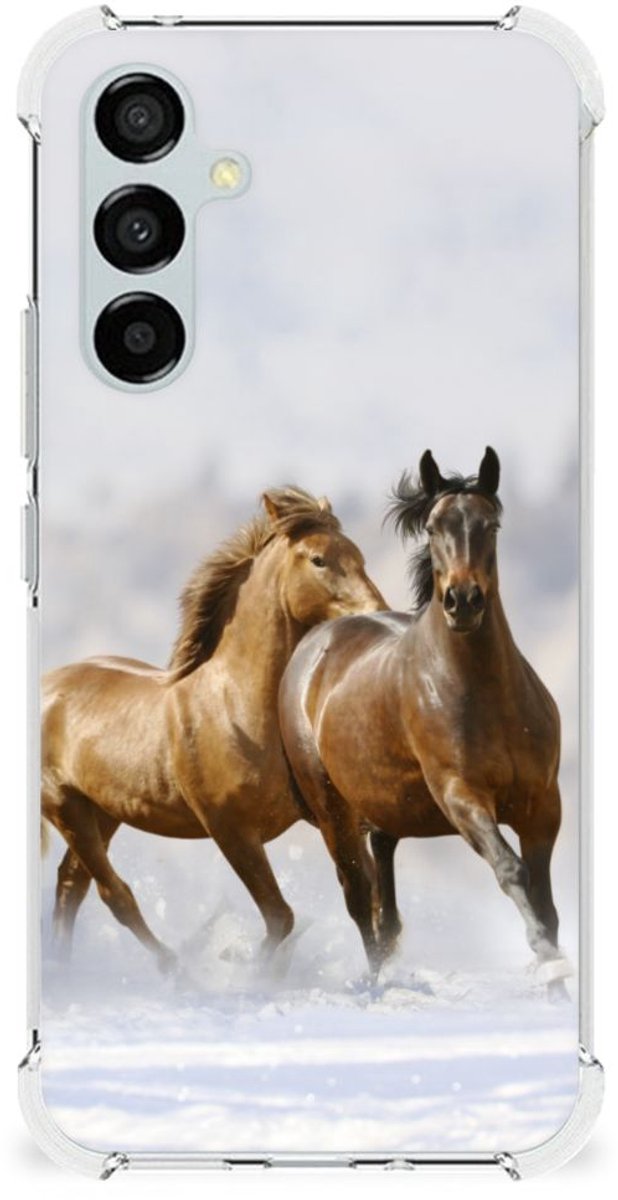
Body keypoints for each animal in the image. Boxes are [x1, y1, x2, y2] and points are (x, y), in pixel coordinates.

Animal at [42, 486, 386, 972]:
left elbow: (363, 896)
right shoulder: (230, 829)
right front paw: (247, 969)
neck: (237, 709)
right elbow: (280, 916)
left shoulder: (330, 816)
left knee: (72, 885)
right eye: (319, 559)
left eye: (358, 555)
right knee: (114, 894)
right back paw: (173, 968)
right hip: (64, 807)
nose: (379, 613)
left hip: (103, 812)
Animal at [279, 449, 569, 995]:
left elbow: (545, 900)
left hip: (385, 807)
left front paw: (557, 981)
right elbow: (511, 870)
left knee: (384, 897)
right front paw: (546, 961)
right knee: (359, 897)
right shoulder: (461, 796)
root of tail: (314, 644)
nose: (463, 601)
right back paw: (376, 985)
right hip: (333, 812)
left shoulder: (542, 804)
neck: (486, 696)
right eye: (434, 527)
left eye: (491, 524)